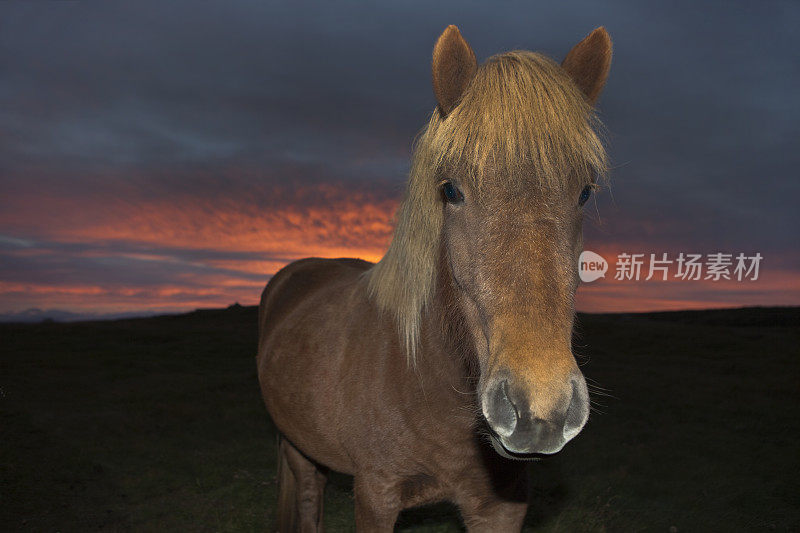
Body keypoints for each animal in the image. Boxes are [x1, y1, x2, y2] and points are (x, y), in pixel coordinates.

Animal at [256, 22, 612, 528]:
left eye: (584, 191)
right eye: (451, 190)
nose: (540, 410)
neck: (427, 383)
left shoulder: (501, 508)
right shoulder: (376, 498)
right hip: (300, 450)